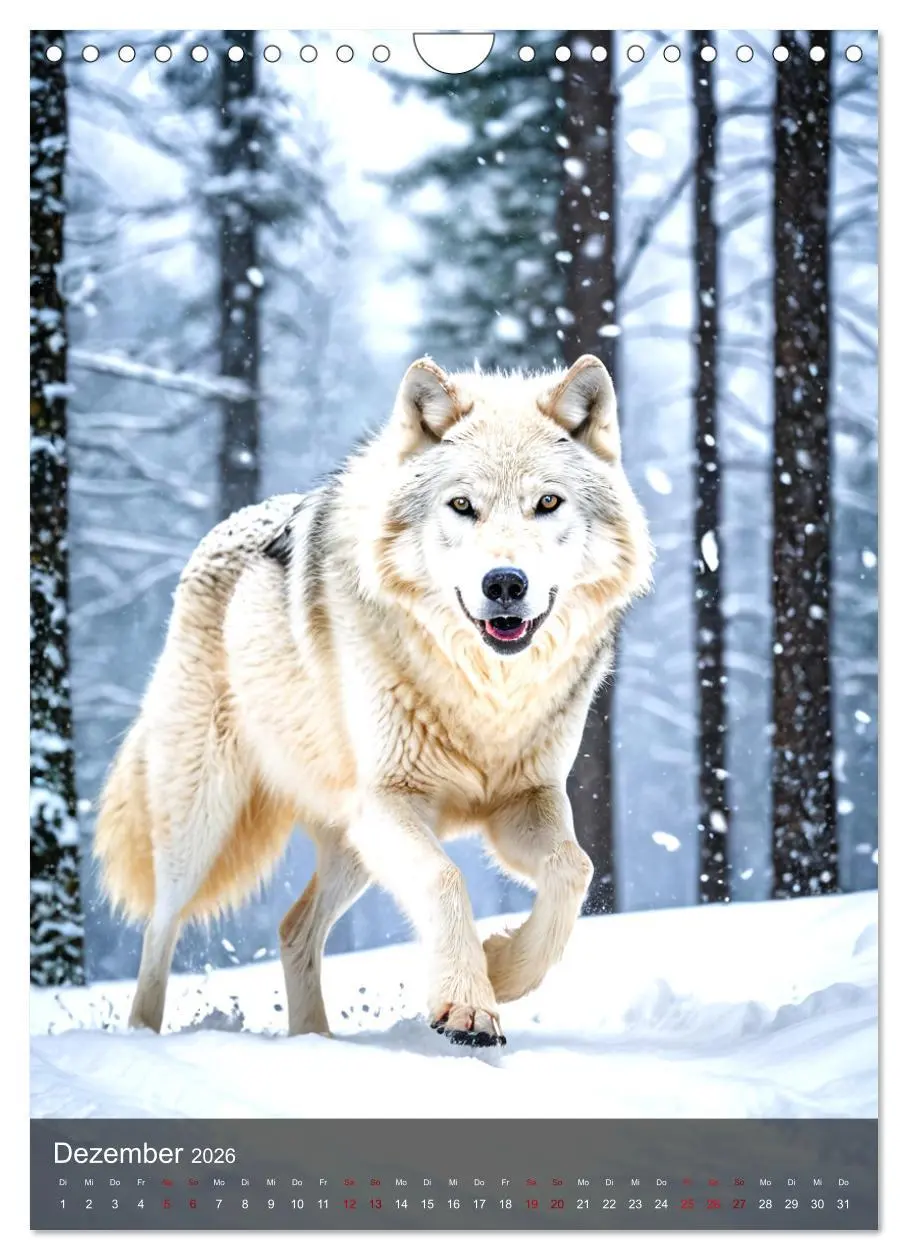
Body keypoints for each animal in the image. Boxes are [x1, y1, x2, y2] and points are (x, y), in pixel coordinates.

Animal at [95, 354, 653, 1047]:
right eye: (462, 506)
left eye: (547, 503)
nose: (505, 583)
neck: (486, 695)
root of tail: (220, 529)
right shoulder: (391, 801)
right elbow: (447, 878)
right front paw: (469, 1005)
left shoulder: (525, 799)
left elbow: (573, 871)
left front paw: (501, 968)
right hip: (203, 821)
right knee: (159, 929)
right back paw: (144, 1036)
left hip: (351, 842)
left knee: (293, 928)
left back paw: (314, 1041)